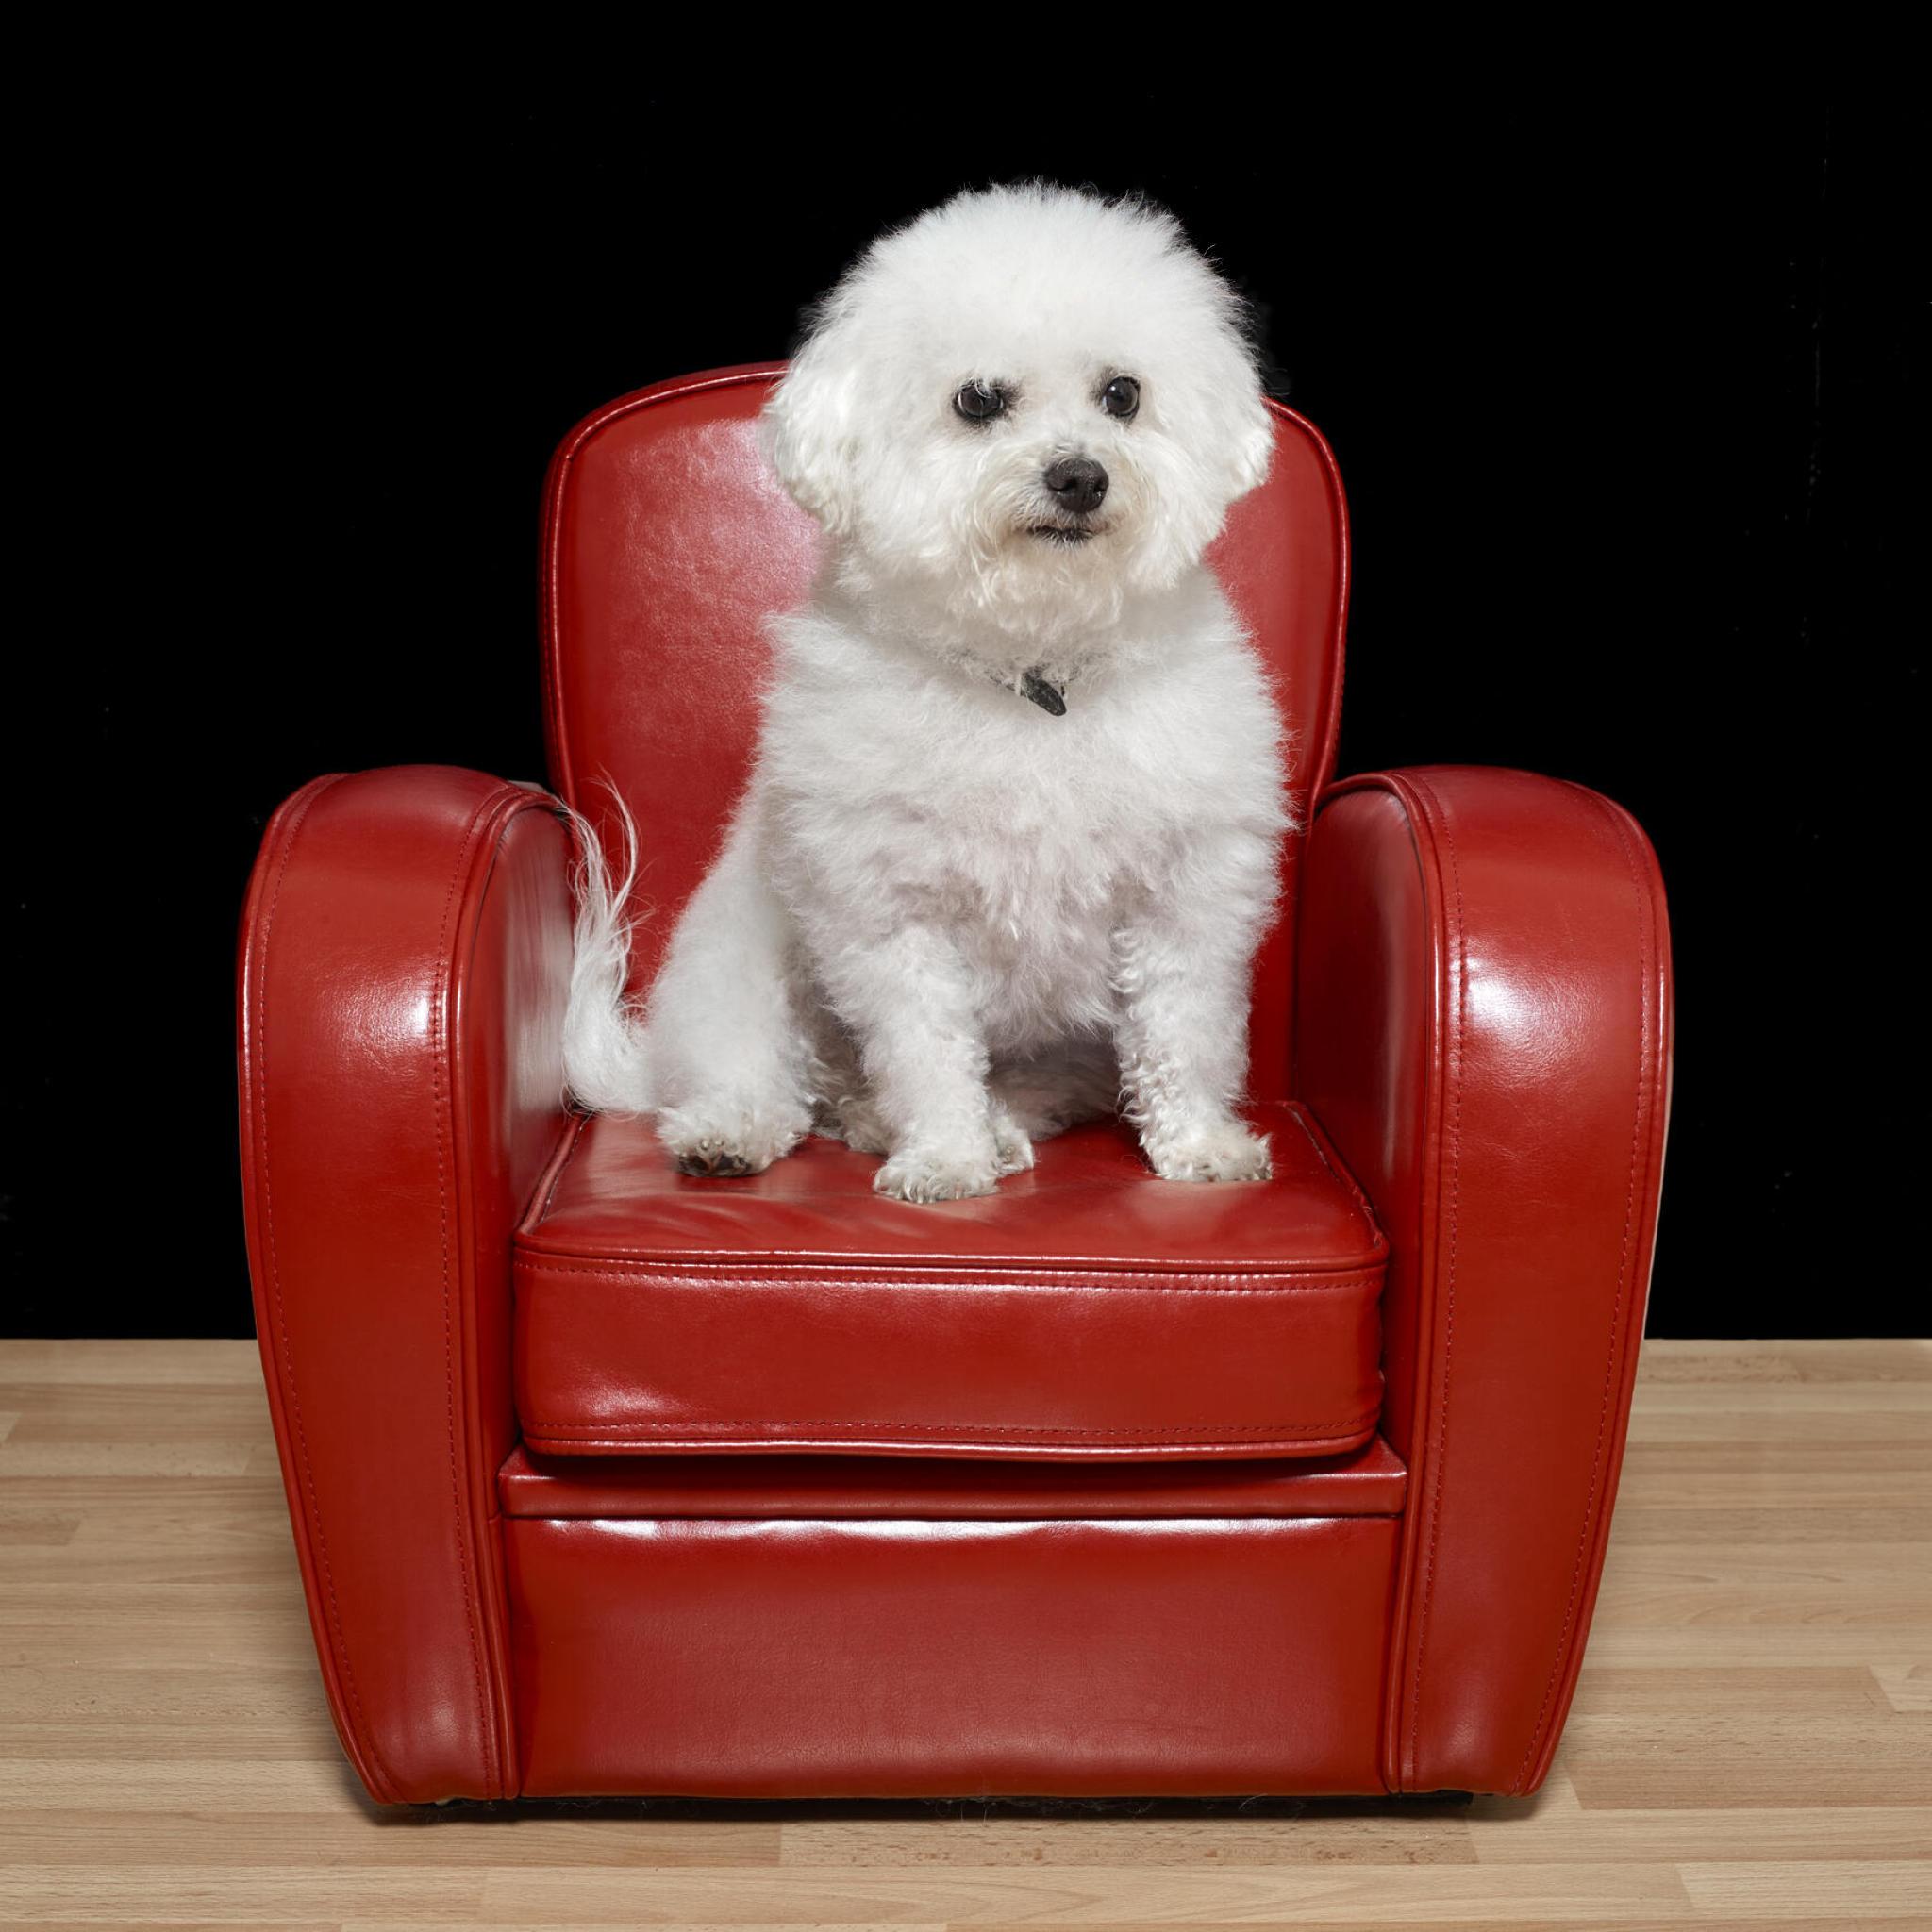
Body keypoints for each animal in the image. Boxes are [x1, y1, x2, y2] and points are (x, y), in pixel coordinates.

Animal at [562, 181, 1293, 1204]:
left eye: (1123, 394)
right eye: (977, 401)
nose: (1079, 474)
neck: (1032, 669)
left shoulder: (1184, 900)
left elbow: (1181, 1032)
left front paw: (1197, 1146)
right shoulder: (890, 915)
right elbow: (925, 1050)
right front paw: (944, 1157)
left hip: (1065, 1051)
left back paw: (990, 1126)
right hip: (743, 970)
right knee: (770, 1078)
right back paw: (738, 1131)